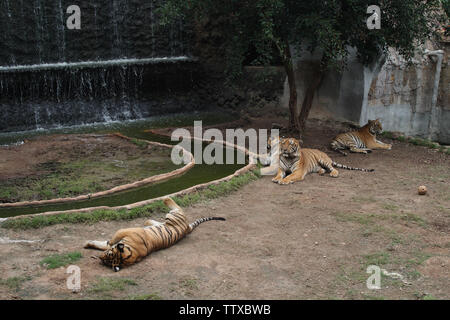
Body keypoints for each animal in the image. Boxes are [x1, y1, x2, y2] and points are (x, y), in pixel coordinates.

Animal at [84, 196, 225, 272]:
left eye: (108, 257)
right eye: (106, 261)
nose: (100, 258)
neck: (132, 251)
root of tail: (187, 228)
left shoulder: (126, 231)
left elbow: (111, 241)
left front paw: (89, 243)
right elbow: (104, 244)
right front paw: (88, 244)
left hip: (173, 215)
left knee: (174, 205)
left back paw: (164, 197)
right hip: (165, 221)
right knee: (154, 221)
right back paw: (149, 221)